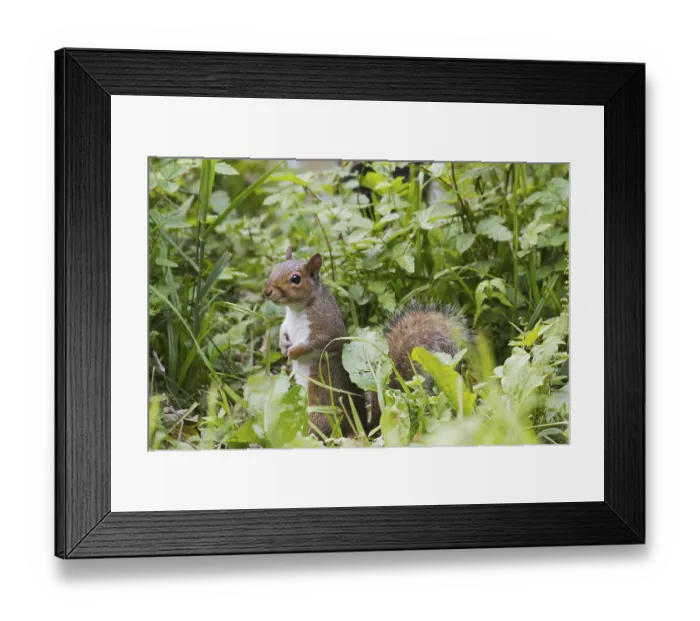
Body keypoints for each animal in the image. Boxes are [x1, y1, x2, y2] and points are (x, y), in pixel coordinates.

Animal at [263, 248, 467, 439]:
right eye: (273, 269)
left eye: (295, 279)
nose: (266, 292)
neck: (296, 310)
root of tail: (361, 428)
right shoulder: (288, 323)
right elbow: (283, 330)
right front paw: (283, 345)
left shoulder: (326, 328)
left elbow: (315, 344)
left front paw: (293, 352)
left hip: (321, 410)